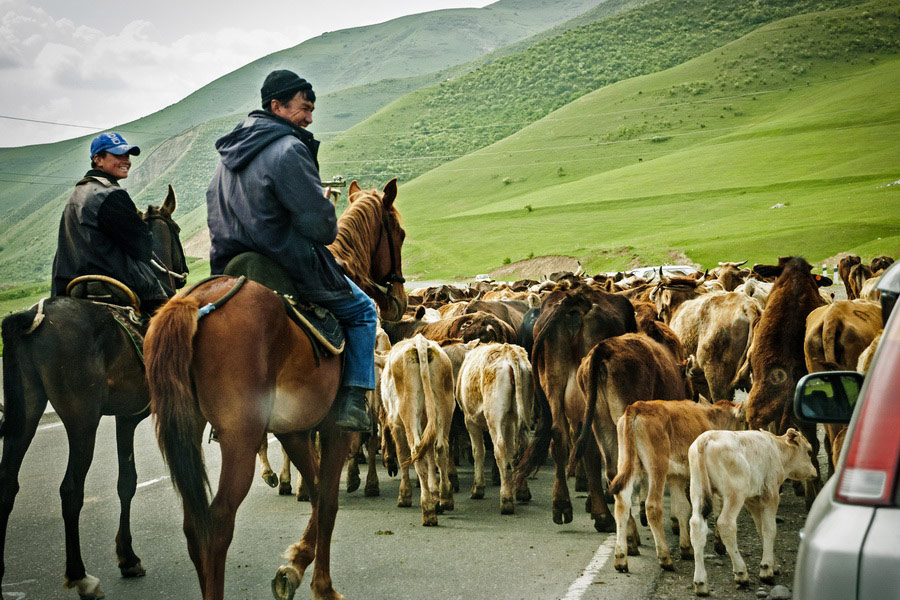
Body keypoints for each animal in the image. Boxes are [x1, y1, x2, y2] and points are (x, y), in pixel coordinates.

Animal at [0, 185, 186, 596]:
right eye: (178, 231)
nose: (181, 276)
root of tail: (33, 317)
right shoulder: (144, 416)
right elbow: (136, 481)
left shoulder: (124, 419)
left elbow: (126, 482)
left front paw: (128, 557)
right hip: (82, 421)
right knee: (71, 490)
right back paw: (80, 576)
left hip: (27, 412)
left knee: (7, 482)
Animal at [145, 178, 408, 600]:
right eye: (398, 232)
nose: (399, 300)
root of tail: (192, 303)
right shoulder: (334, 429)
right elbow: (328, 502)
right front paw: (322, 586)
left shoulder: (293, 431)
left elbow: (316, 493)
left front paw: (295, 566)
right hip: (240, 438)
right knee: (218, 522)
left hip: (189, 427)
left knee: (194, 524)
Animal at [378, 332, 454, 524]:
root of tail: (420, 342)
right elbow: (430, 457)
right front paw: (435, 494)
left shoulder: (396, 425)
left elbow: (403, 455)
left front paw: (405, 495)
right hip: (444, 405)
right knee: (441, 449)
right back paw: (445, 498)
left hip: (408, 410)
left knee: (415, 450)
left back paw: (428, 510)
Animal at [458, 344, 536, 512]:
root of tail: (510, 352)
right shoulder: (509, 421)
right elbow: (512, 450)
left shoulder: (470, 420)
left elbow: (478, 451)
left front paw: (478, 488)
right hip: (523, 410)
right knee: (522, 446)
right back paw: (522, 491)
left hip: (494, 415)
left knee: (500, 448)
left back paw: (506, 499)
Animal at [684, 428, 820, 592]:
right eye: (809, 451)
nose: (814, 473)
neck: (777, 450)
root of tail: (708, 436)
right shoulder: (771, 495)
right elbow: (769, 529)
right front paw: (766, 569)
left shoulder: (753, 500)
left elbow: (760, 529)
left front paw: (773, 564)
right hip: (734, 493)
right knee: (725, 524)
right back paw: (741, 573)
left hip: (697, 490)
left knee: (696, 526)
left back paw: (700, 583)